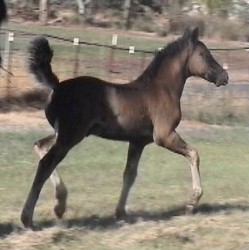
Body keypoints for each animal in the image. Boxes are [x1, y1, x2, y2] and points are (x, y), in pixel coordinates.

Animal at [20, 27, 228, 229]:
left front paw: (121, 213)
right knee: (46, 164)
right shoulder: (164, 136)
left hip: (62, 134)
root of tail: (57, 86)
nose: (224, 77)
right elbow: (194, 154)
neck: (161, 89)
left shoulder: (137, 142)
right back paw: (29, 218)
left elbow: (129, 175)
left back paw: (59, 205)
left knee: (40, 146)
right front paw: (192, 202)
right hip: (70, 136)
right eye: (204, 54)